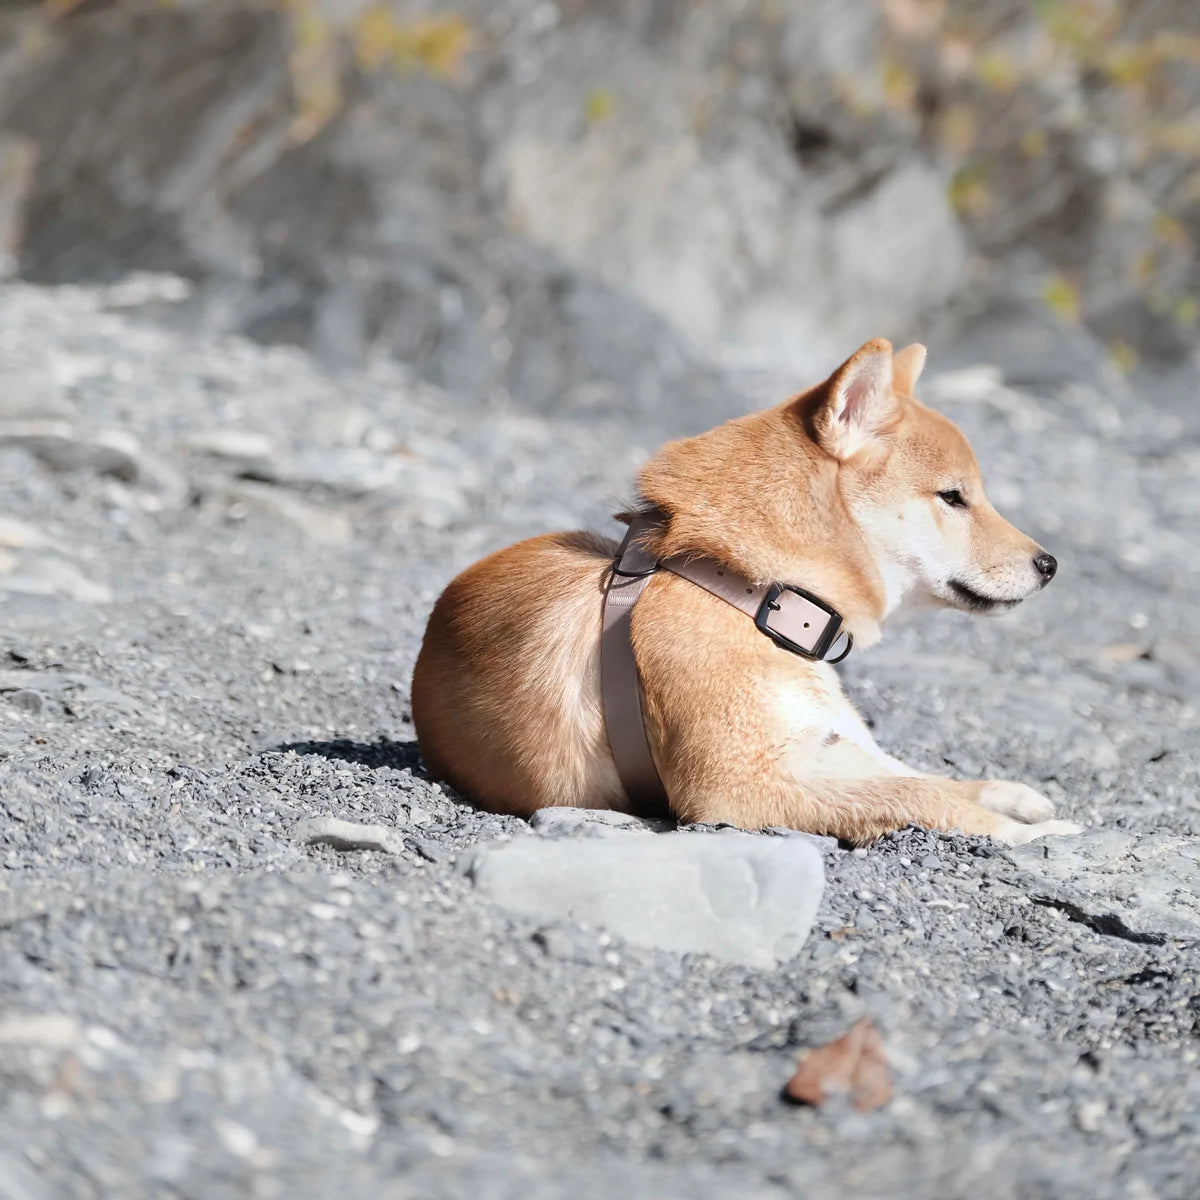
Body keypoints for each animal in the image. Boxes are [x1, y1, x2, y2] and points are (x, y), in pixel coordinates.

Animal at [412, 338, 1080, 844]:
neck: (748, 590)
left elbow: (921, 782)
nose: (1049, 564)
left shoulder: (820, 742)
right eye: (953, 497)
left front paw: (1014, 799)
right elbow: (917, 797)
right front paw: (1034, 835)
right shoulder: (737, 789)